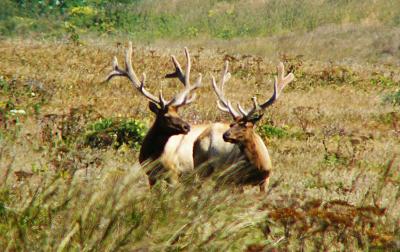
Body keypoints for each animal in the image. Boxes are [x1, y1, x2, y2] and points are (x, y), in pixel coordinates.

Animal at [106, 42, 205, 186]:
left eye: (178, 114)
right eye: (166, 116)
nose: (187, 127)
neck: (152, 156)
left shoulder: (174, 174)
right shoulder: (150, 176)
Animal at [194, 61, 294, 191]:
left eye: (244, 125)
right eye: (231, 124)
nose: (225, 135)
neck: (258, 167)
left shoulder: (265, 180)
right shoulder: (236, 181)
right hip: (202, 166)